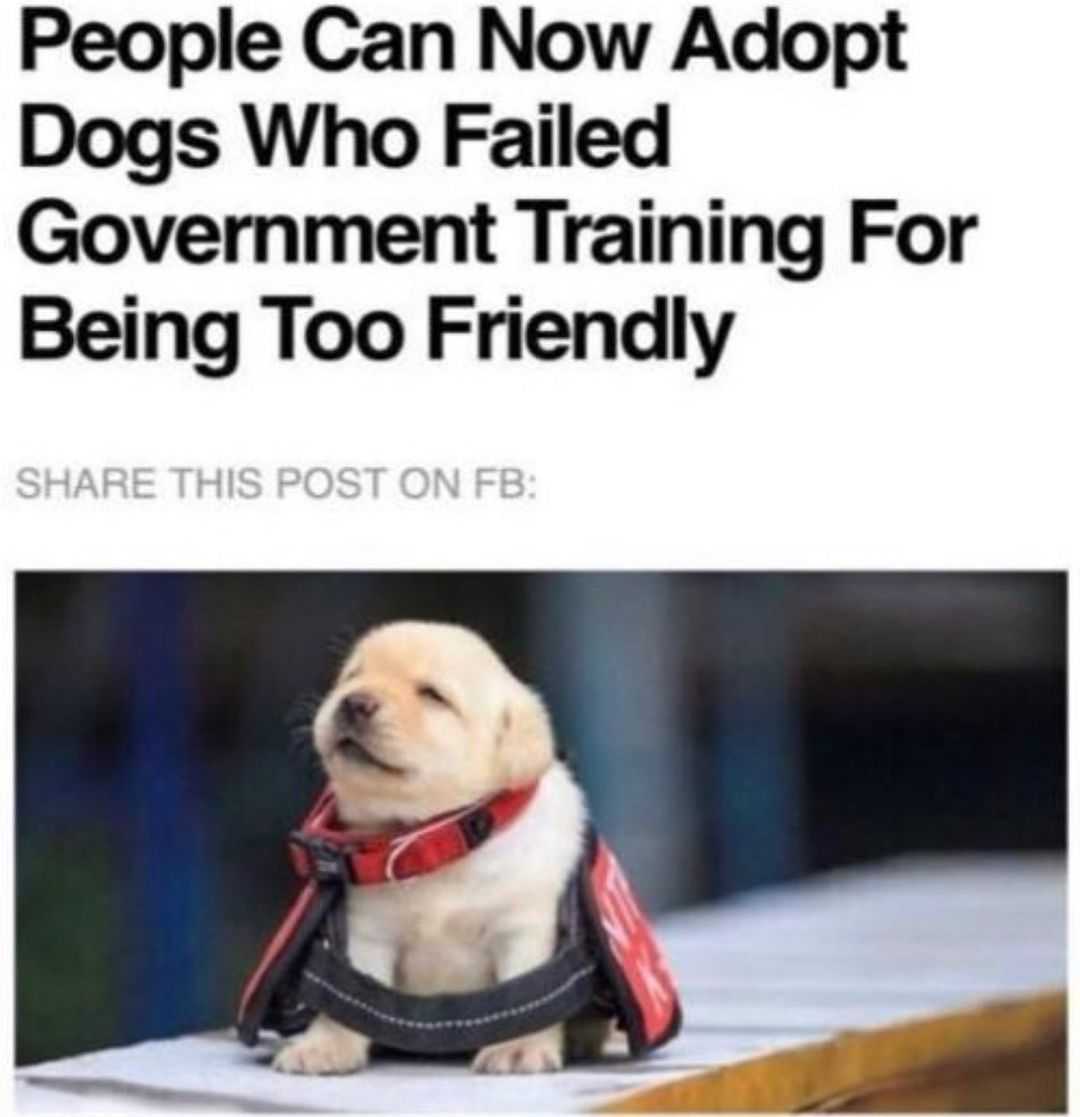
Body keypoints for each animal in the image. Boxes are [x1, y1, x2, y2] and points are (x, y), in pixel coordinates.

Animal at [272, 621, 607, 1072]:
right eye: (352, 676)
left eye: (432, 695)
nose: (354, 701)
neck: (433, 840)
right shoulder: (367, 932)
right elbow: (350, 996)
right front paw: (325, 1045)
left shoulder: (523, 926)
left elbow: (526, 993)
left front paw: (518, 1047)